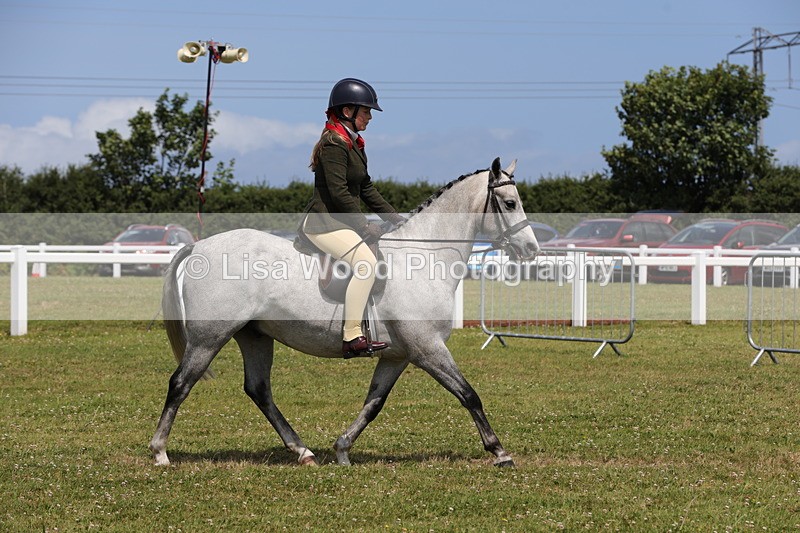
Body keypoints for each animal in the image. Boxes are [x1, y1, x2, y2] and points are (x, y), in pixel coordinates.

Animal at [150, 157, 540, 467]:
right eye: (509, 203)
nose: (531, 250)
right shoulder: (428, 349)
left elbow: (374, 403)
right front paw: (499, 452)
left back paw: (303, 452)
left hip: (254, 335)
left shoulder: (397, 356)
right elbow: (468, 394)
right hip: (210, 337)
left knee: (259, 390)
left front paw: (342, 449)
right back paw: (160, 452)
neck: (425, 257)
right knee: (181, 384)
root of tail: (198, 245)